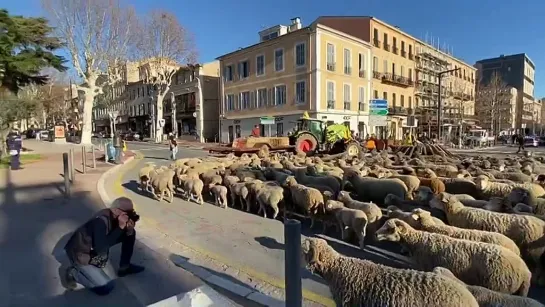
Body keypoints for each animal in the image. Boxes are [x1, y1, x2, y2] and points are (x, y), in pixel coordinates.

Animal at [376, 219, 528, 296]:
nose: (376, 234)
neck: (418, 241)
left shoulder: (425, 265)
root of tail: (526, 271)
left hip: (501, 286)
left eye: (390, 229)